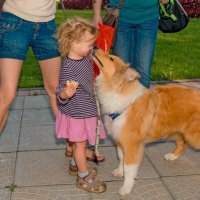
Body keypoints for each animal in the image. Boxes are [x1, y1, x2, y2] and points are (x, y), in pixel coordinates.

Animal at [92, 48, 200, 195]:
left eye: (111, 58)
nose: (95, 47)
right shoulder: (120, 139)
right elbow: (121, 158)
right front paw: (120, 172)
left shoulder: (132, 144)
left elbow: (129, 168)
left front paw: (126, 188)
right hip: (175, 130)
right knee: (182, 143)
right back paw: (172, 156)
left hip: (193, 134)